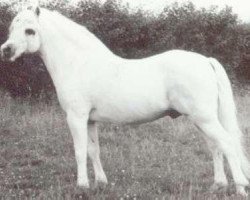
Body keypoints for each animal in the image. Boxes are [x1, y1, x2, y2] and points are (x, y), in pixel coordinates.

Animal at [0, 5, 249, 195]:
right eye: (12, 28)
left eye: (30, 31)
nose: (6, 50)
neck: (79, 63)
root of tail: (206, 61)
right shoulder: (90, 120)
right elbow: (93, 150)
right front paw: (100, 183)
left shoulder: (76, 117)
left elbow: (79, 150)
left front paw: (82, 186)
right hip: (201, 119)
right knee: (216, 146)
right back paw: (218, 185)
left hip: (204, 118)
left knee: (227, 143)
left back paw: (239, 187)